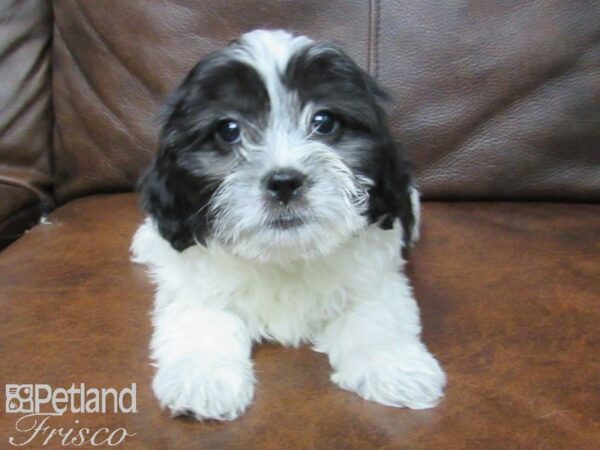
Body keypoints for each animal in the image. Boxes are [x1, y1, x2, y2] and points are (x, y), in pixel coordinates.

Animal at [131, 29, 446, 420]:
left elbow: (376, 317)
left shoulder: (377, 277)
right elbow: (202, 319)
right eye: (228, 130)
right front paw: (202, 378)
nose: (284, 182)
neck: (285, 255)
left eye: (324, 122)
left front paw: (394, 366)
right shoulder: (194, 284)